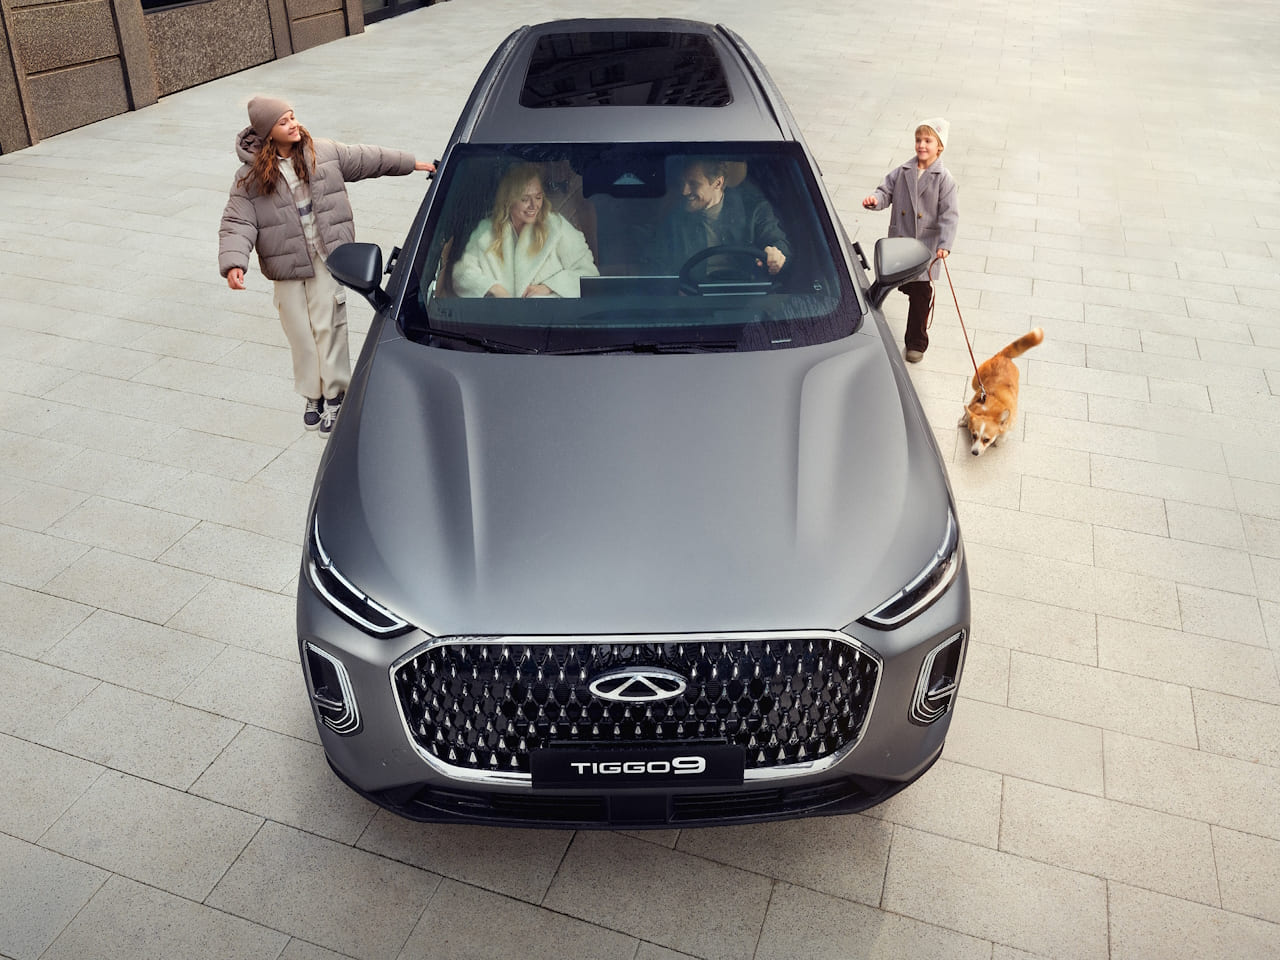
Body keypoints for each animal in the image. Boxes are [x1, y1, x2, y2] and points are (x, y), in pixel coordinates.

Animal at [958, 327, 1044, 456]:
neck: (988, 411)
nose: (974, 452)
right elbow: (967, 414)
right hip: (975, 382)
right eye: (974, 435)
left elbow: (1004, 434)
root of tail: (1003, 355)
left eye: (986, 440)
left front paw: (998, 441)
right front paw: (965, 420)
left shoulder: (1010, 422)